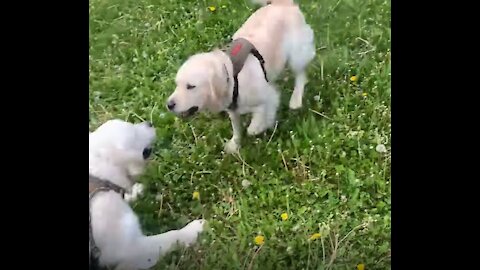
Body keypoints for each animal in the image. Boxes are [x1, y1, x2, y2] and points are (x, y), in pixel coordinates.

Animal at [89, 120, 205, 270]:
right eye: (134, 131)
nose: (149, 123)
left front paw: (136, 192)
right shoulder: (129, 249)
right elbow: (172, 236)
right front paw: (194, 230)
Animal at [165, 0, 316, 153]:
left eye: (191, 86)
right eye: (177, 84)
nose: (169, 104)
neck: (231, 77)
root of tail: (283, 4)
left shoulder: (269, 96)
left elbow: (260, 116)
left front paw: (258, 127)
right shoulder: (233, 109)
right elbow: (237, 128)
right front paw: (234, 144)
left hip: (296, 55)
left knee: (301, 75)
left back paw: (295, 100)